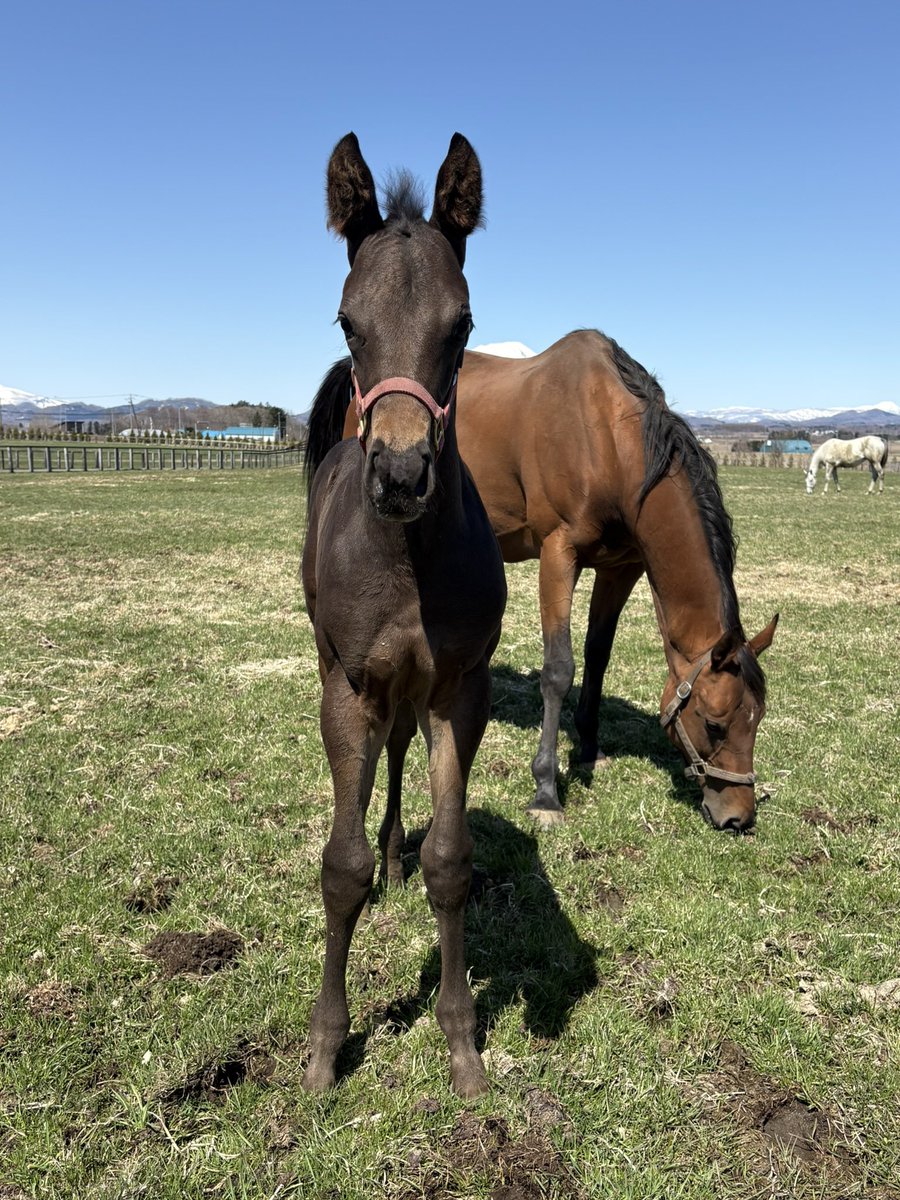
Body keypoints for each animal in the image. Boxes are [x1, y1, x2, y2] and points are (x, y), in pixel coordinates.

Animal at [306, 331, 778, 833]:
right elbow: (559, 670)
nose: (738, 816)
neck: (609, 437)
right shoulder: (557, 554)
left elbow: (597, 657)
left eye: (757, 720)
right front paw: (546, 790)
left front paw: (589, 749)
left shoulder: (620, 567)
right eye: (714, 724)